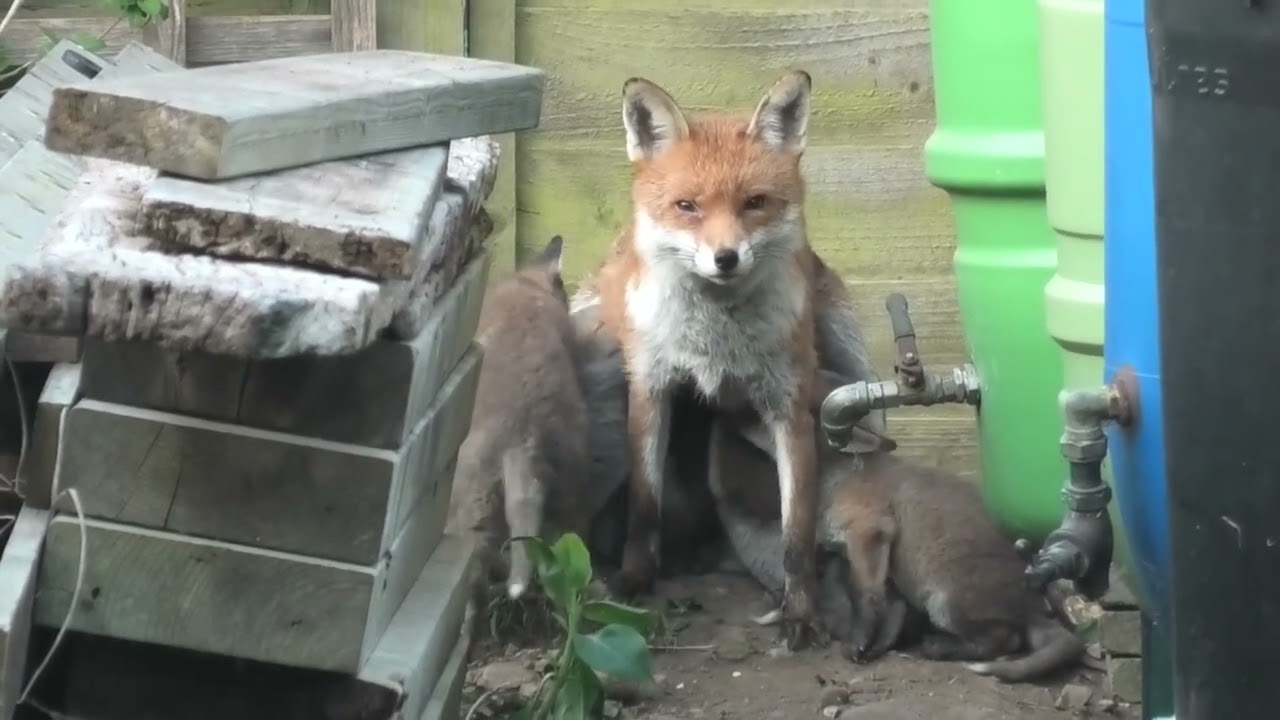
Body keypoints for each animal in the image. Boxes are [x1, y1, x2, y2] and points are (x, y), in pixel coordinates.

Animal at [586, 70, 882, 649]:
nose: (725, 258)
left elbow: (797, 535)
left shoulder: (789, 407)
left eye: (755, 203)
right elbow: (644, 506)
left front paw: (802, 613)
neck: (716, 342)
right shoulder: (651, 390)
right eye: (687, 206)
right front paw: (634, 579)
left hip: (853, 374)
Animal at [715, 409, 1086, 683]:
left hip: (944, 601)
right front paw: (878, 641)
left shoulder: (870, 530)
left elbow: (865, 598)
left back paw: (938, 647)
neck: (838, 476)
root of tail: (1034, 607)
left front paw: (859, 641)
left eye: (770, 420)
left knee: (1005, 639)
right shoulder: (876, 560)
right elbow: (886, 604)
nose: (729, 414)